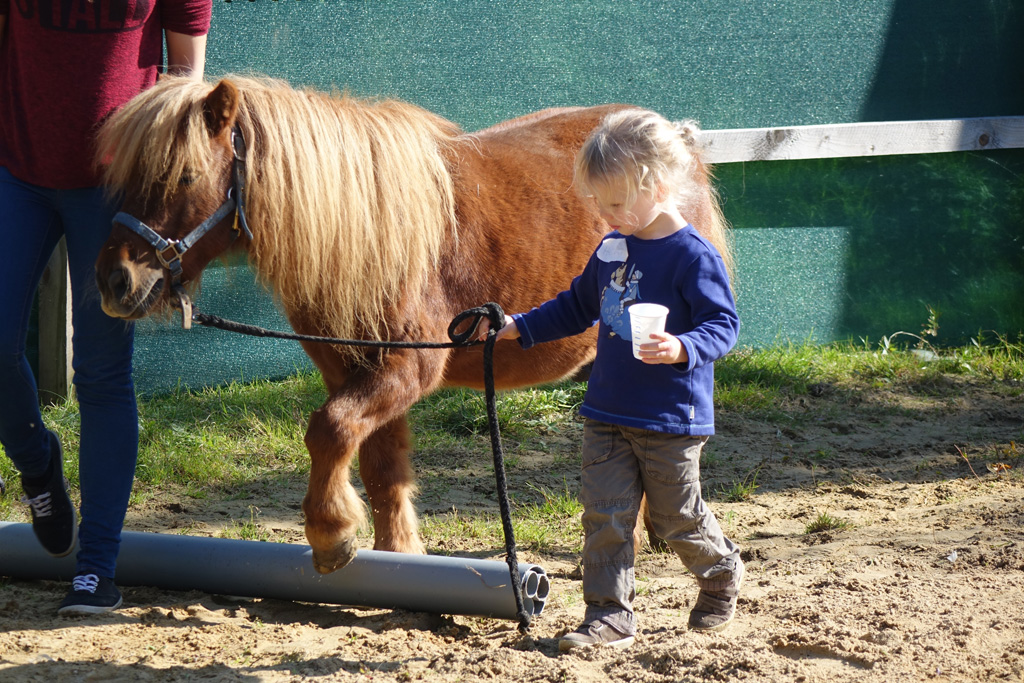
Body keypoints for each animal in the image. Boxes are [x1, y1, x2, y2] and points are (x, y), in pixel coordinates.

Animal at [90, 76, 729, 573]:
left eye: (185, 176)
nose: (114, 281)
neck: (368, 231)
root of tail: (676, 139)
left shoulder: (405, 368)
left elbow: (330, 430)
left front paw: (331, 534)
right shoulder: (352, 371)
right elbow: (379, 464)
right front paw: (397, 554)